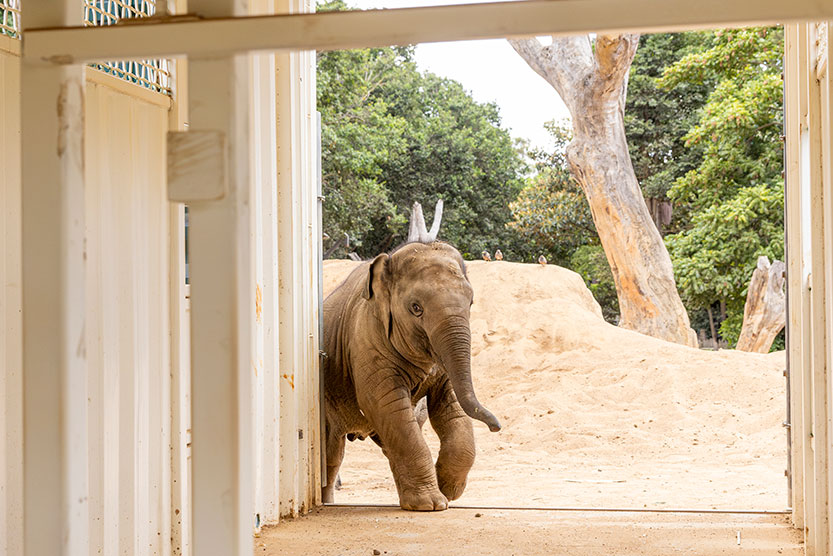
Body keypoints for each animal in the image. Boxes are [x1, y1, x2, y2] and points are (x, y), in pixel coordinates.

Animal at [321, 241, 501, 511]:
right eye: (416, 308)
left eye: (471, 303)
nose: (496, 427)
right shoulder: (366, 340)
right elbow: (383, 404)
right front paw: (431, 504)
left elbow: (450, 405)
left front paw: (446, 489)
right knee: (332, 454)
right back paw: (327, 504)